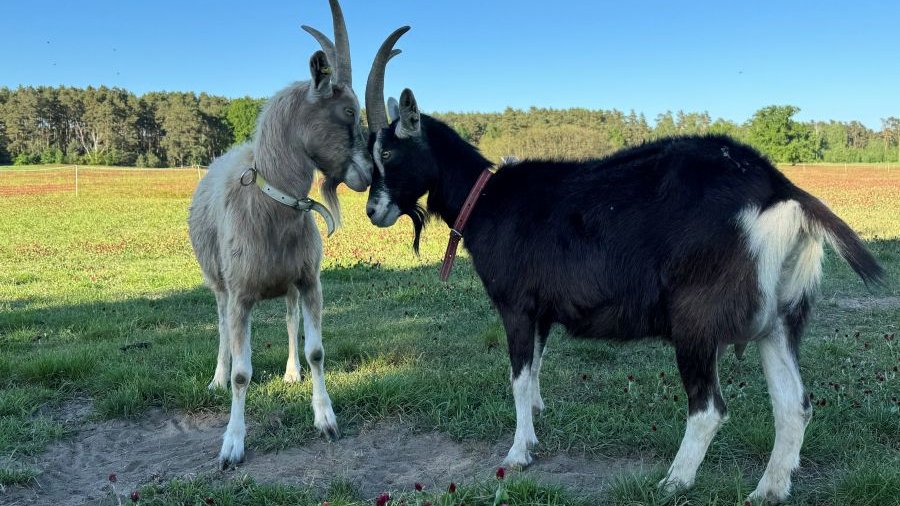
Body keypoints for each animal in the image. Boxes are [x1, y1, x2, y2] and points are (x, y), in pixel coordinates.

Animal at [188, 0, 408, 468]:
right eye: (348, 112)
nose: (368, 174)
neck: (271, 205)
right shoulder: (240, 294)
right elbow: (242, 372)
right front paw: (231, 445)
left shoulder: (308, 281)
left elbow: (316, 350)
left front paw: (326, 419)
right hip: (218, 285)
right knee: (221, 327)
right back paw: (215, 379)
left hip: (286, 286)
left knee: (289, 321)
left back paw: (290, 373)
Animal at [364, 88, 884, 503]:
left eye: (387, 153)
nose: (372, 211)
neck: (486, 200)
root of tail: (779, 189)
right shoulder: (543, 312)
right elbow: (536, 369)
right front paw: (536, 424)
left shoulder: (517, 305)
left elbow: (518, 377)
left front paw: (517, 454)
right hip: (779, 318)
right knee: (794, 405)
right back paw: (768, 490)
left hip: (696, 319)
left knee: (709, 408)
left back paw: (674, 482)